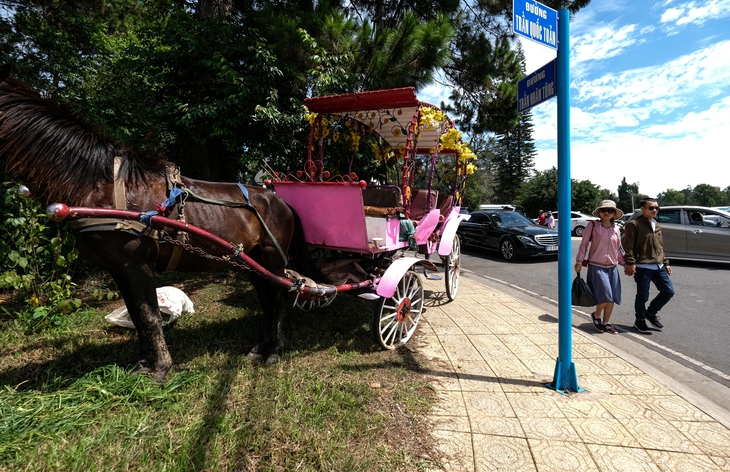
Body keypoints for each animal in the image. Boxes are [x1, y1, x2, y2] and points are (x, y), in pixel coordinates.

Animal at [0, 67, 302, 384]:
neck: (97, 185)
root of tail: (278, 199)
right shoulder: (119, 269)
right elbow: (136, 315)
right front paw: (144, 362)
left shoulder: (137, 265)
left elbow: (150, 315)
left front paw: (160, 368)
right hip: (250, 261)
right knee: (266, 300)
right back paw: (260, 346)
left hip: (272, 258)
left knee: (279, 297)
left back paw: (275, 350)